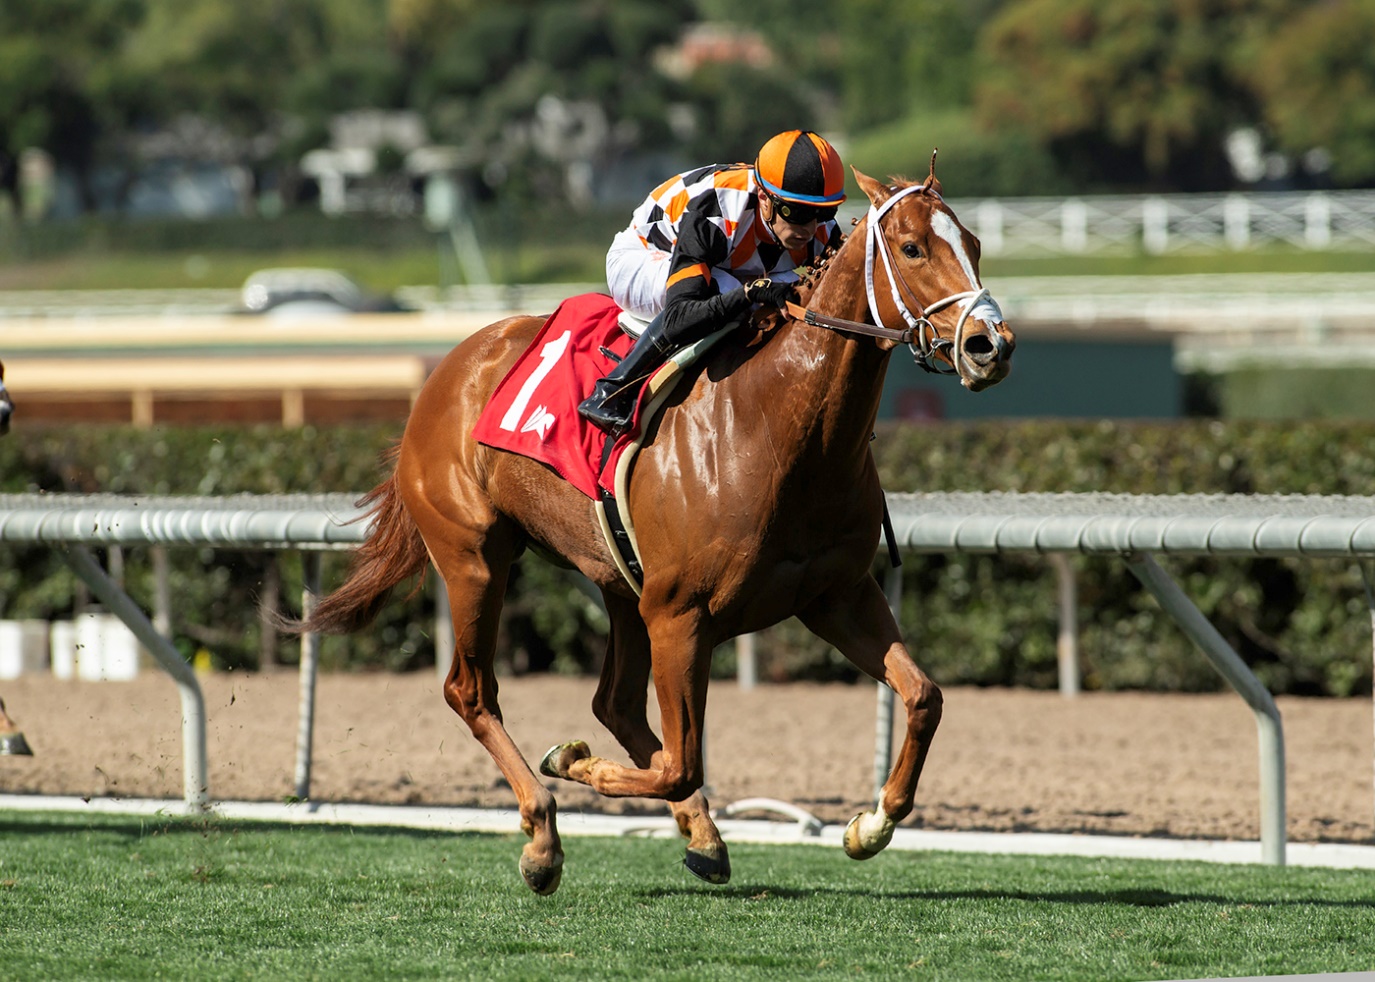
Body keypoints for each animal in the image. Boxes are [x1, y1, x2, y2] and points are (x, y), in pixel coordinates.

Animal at [297, 163, 1015, 894]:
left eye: (975, 244)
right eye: (912, 248)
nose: (990, 345)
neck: (776, 426)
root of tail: (447, 368)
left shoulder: (834, 595)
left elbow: (923, 696)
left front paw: (870, 825)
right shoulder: (681, 614)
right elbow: (679, 762)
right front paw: (571, 764)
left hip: (619, 583)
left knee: (614, 703)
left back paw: (699, 835)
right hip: (475, 558)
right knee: (471, 691)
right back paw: (543, 835)